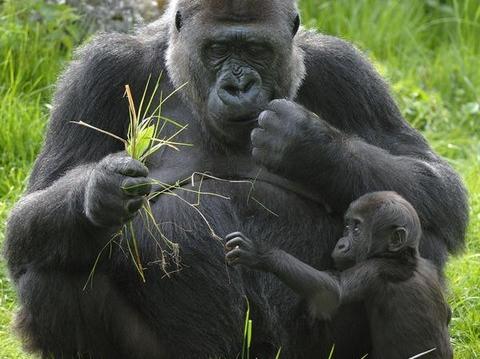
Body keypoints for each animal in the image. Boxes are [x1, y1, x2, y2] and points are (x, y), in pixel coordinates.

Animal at [227, 193, 452, 358]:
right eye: (347, 226)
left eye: (357, 229)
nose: (341, 244)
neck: (401, 256)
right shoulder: (427, 264)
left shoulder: (373, 269)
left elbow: (333, 292)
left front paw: (262, 254)